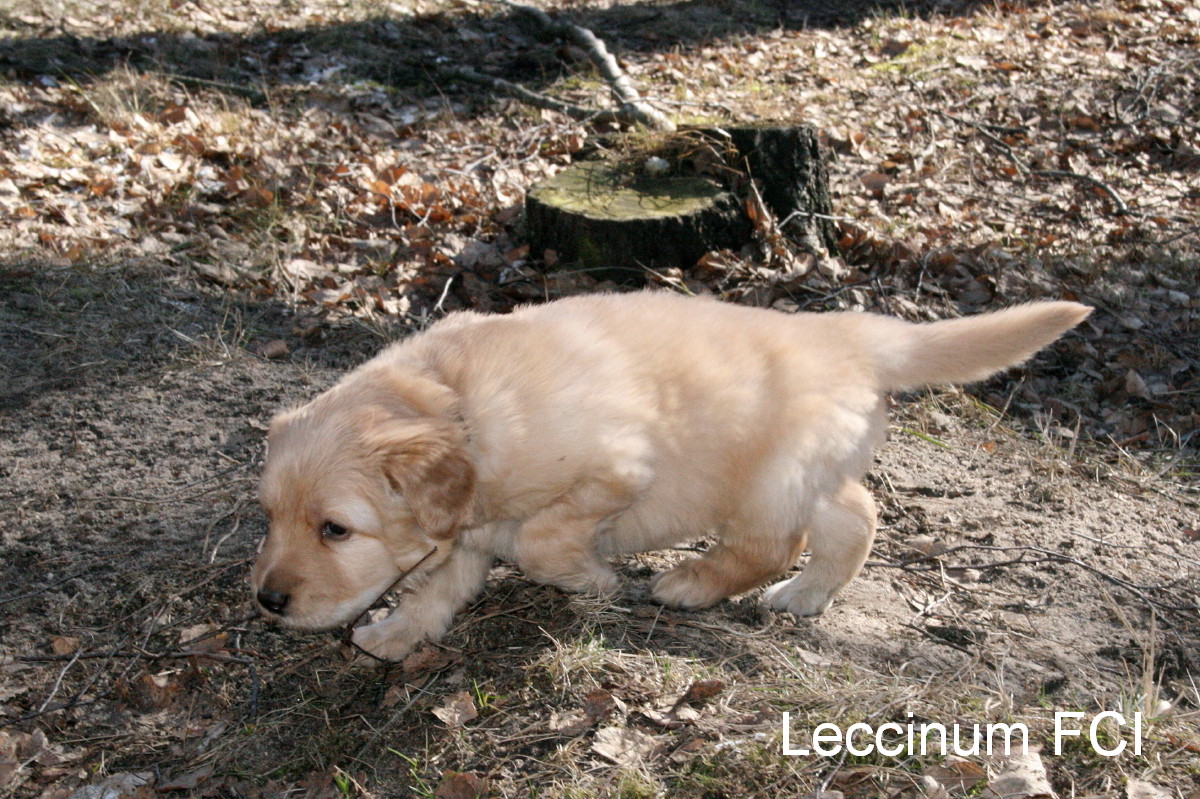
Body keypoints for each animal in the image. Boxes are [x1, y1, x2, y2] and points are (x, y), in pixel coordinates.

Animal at [251, 292, 1090, 660]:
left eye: (335, 528)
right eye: (269, 518)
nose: (266, 601)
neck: (454, 401)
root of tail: (849, 333)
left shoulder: (618, 463)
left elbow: (543, 540)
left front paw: (591, 578)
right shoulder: (462, 526)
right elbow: (441, 582)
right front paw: (399, 630)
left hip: (766, 479)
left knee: (770, 545)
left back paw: (692, 581)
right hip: (816, 468)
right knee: (857, 515)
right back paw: (808, 595)